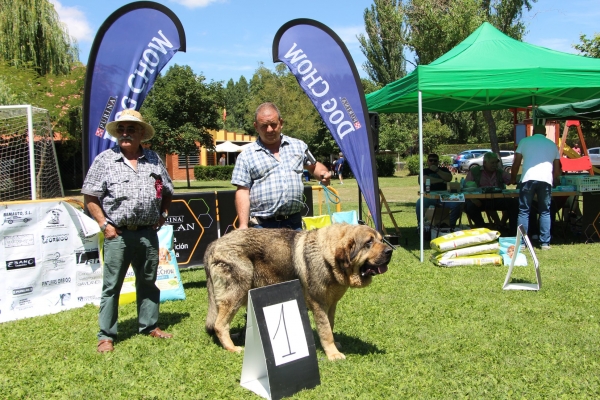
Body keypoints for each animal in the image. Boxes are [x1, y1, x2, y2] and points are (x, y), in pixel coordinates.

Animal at [206, 223, 394, 360]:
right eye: (368, 243)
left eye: (381, 239)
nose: (390, 251)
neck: (329, 259)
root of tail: (213, 244)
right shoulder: (319, 304)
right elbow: (326, 331)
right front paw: (333, 354)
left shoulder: (331, 304)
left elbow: (330, 326)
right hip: (237, 293)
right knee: (220, 325)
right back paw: (232, 347)